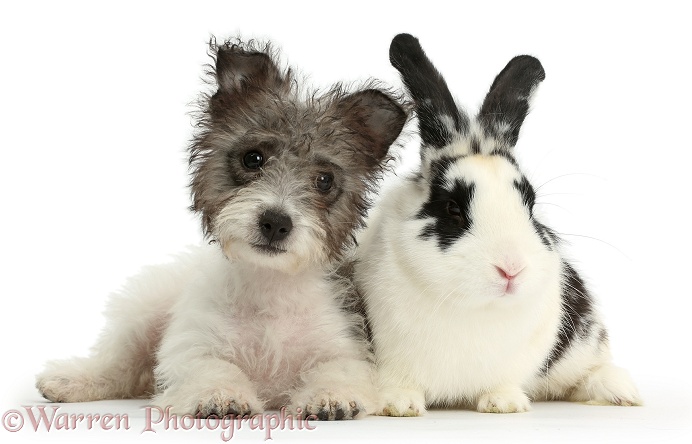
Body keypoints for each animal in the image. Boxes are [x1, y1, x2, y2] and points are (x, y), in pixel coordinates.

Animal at [36, 38, 406, 420]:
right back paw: (71, 381)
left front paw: (330, 396)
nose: (275, 222)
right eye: (253, 158)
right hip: (147, 308)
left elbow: (337, 369)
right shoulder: (190, 345)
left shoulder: (346, 344)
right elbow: (209, 365)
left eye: (324, 180)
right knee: (118, 363)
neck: (268, 287)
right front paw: (221, 393)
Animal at [356, 33, 644, 416]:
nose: (511, 269)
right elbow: (397, 383)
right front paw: (399, 405)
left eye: (530, 205)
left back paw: (621, 391)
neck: (474, 306)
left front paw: (503, 403)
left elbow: (503, 382)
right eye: (453, 208)